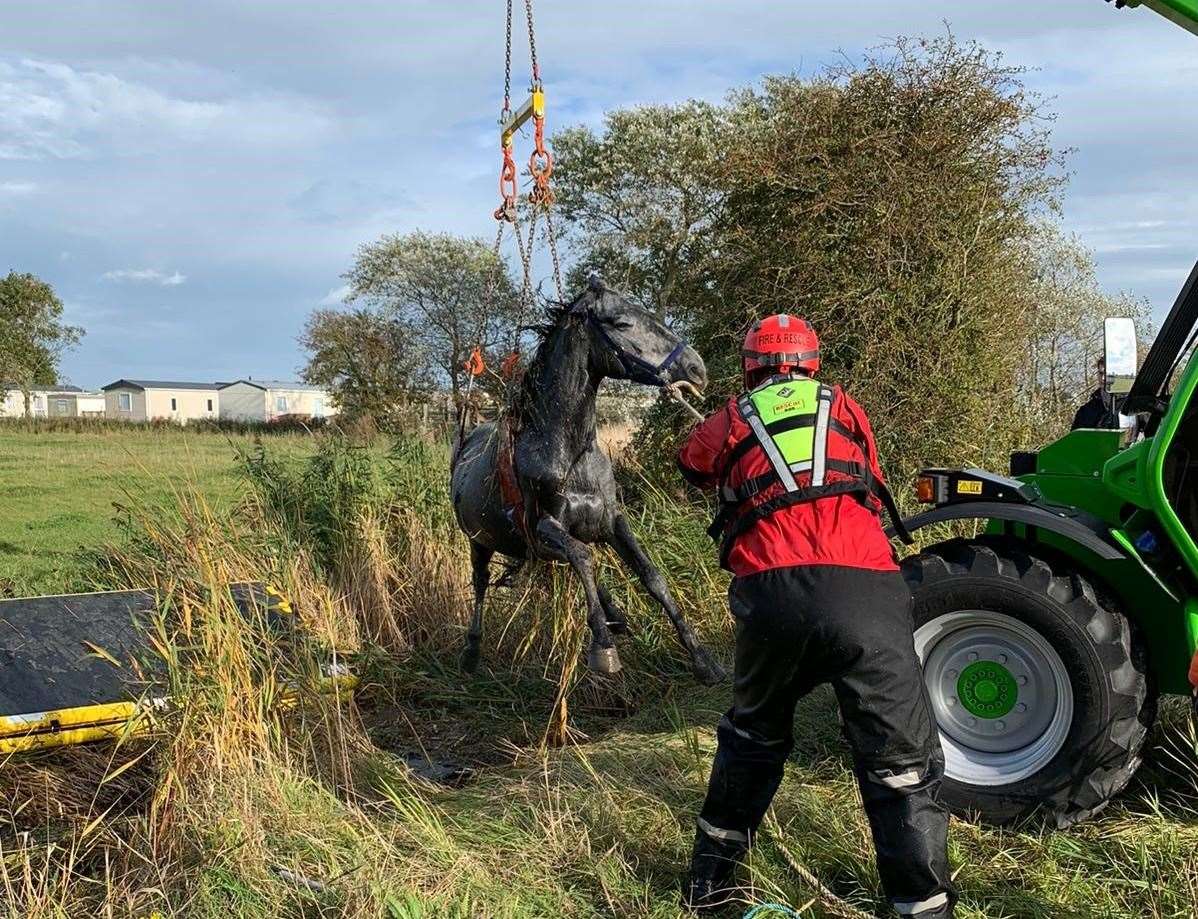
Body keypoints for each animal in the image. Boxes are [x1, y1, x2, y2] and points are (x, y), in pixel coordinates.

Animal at [450, 276, 723, 685]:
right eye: (622, 323)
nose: (696, 368)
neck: (569, 453)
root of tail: (466, 441)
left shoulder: (611, 521)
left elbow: (650, 575)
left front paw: (702, 658)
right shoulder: (544, 528)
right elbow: (584, 558)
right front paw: (603, 647)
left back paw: (617, 617)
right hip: (479, 541)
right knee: (482, 582)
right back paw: (471, 652)